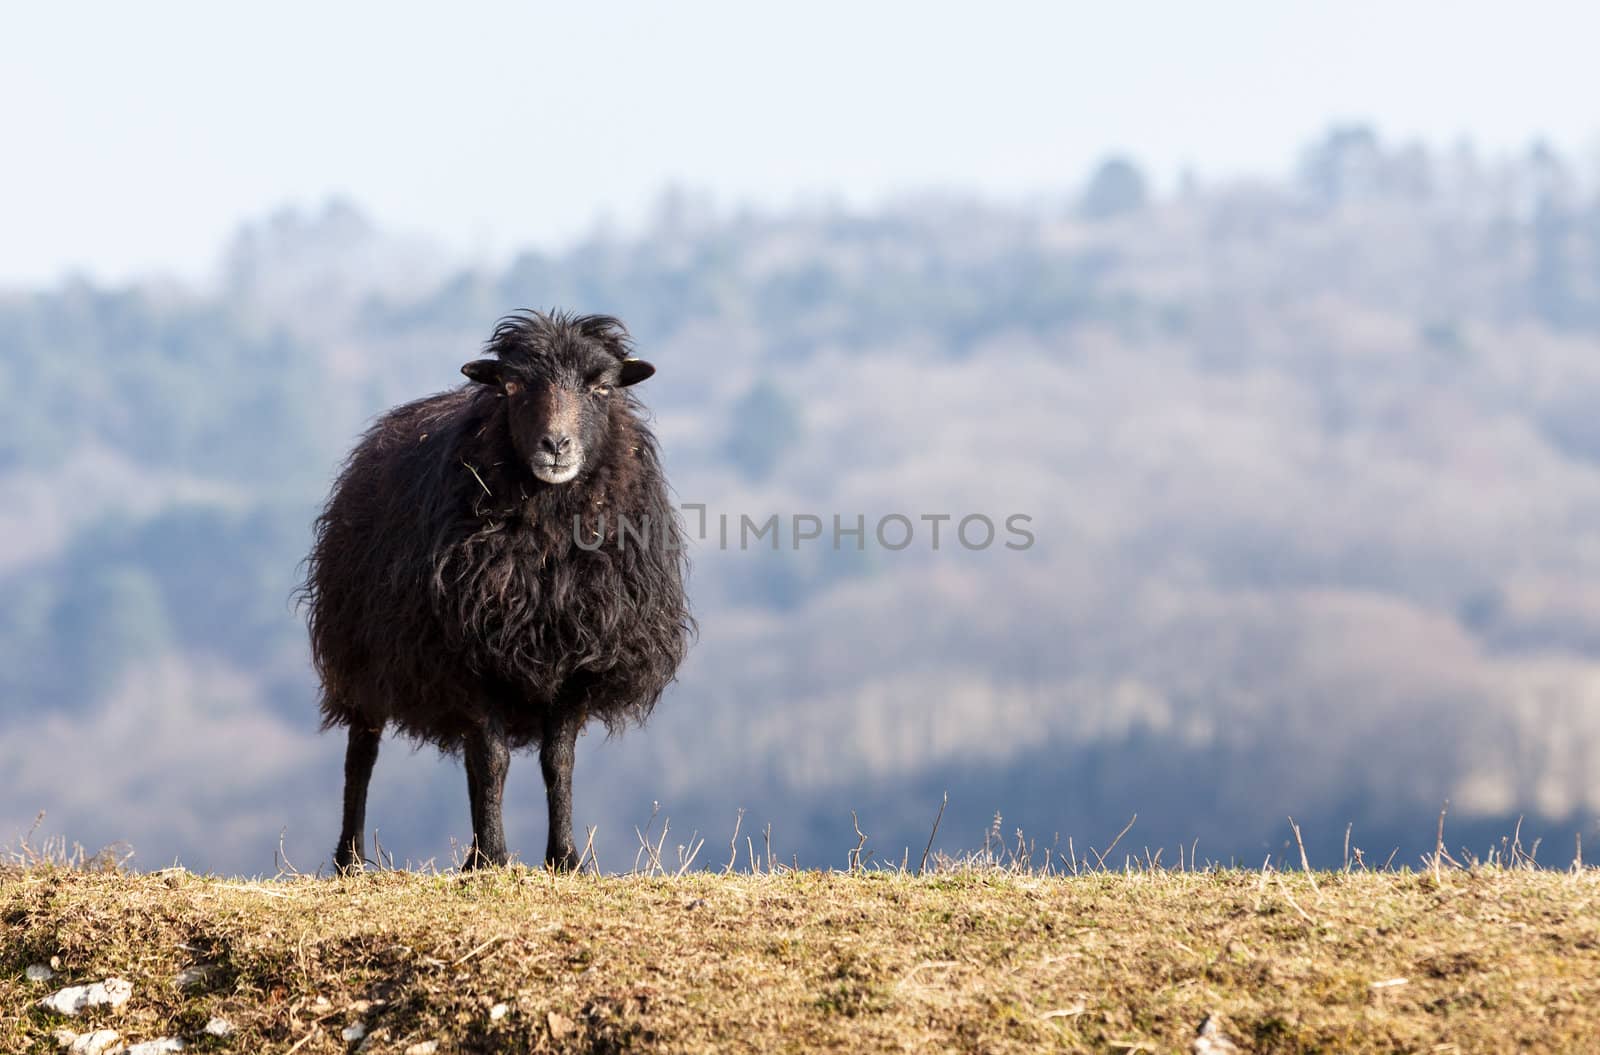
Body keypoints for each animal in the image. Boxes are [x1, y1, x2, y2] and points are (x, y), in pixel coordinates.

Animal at [302, 308, 691, 870]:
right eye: (511, 386)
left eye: (600, 387)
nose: (556, 446)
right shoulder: (467, 654)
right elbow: (494, 760)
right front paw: (494, 859)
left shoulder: (581, 655)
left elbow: (556, 760)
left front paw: (563, 858)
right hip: (361, 653)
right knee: (363, 752)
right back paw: (351, 860)